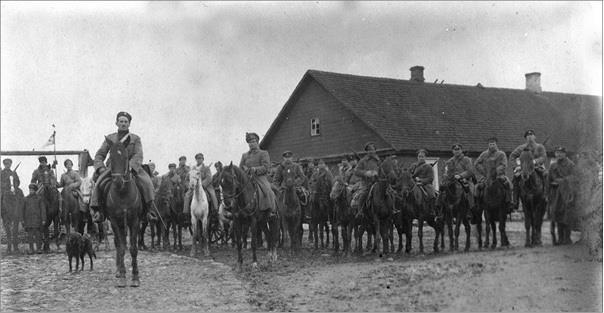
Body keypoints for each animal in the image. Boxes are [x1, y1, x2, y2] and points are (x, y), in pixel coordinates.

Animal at [96, 135, 145, 286]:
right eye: (111, 156)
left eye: (126, 156)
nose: (118, 181)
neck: (123, 193)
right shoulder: (114, 221)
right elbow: (122, 247)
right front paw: (123, 276)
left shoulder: (134, 221)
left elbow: (133, 248)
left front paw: (135, 277)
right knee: (118, 244)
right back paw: (118, 270)